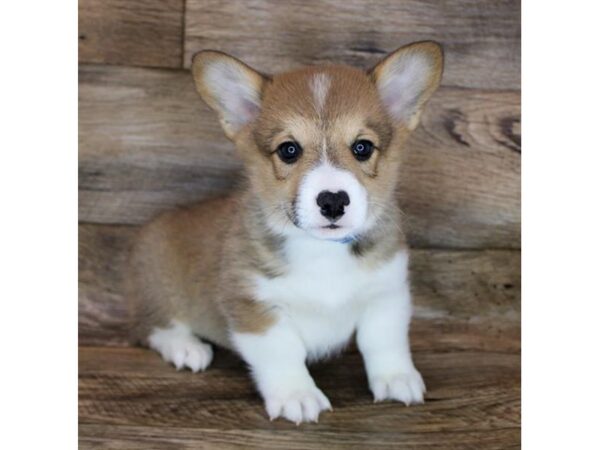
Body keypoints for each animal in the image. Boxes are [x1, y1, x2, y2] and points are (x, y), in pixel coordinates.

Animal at [129, 40, 442, 424]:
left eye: (362, 147)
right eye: (288, 150)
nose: (333, 201)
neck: (322, 252)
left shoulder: (387, 292)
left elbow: (384, 340)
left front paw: (397, 378)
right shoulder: (255, 307)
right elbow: (282, 352)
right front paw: (297, 395)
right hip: (158, 285)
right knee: (153, 328)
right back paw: (187, 349)